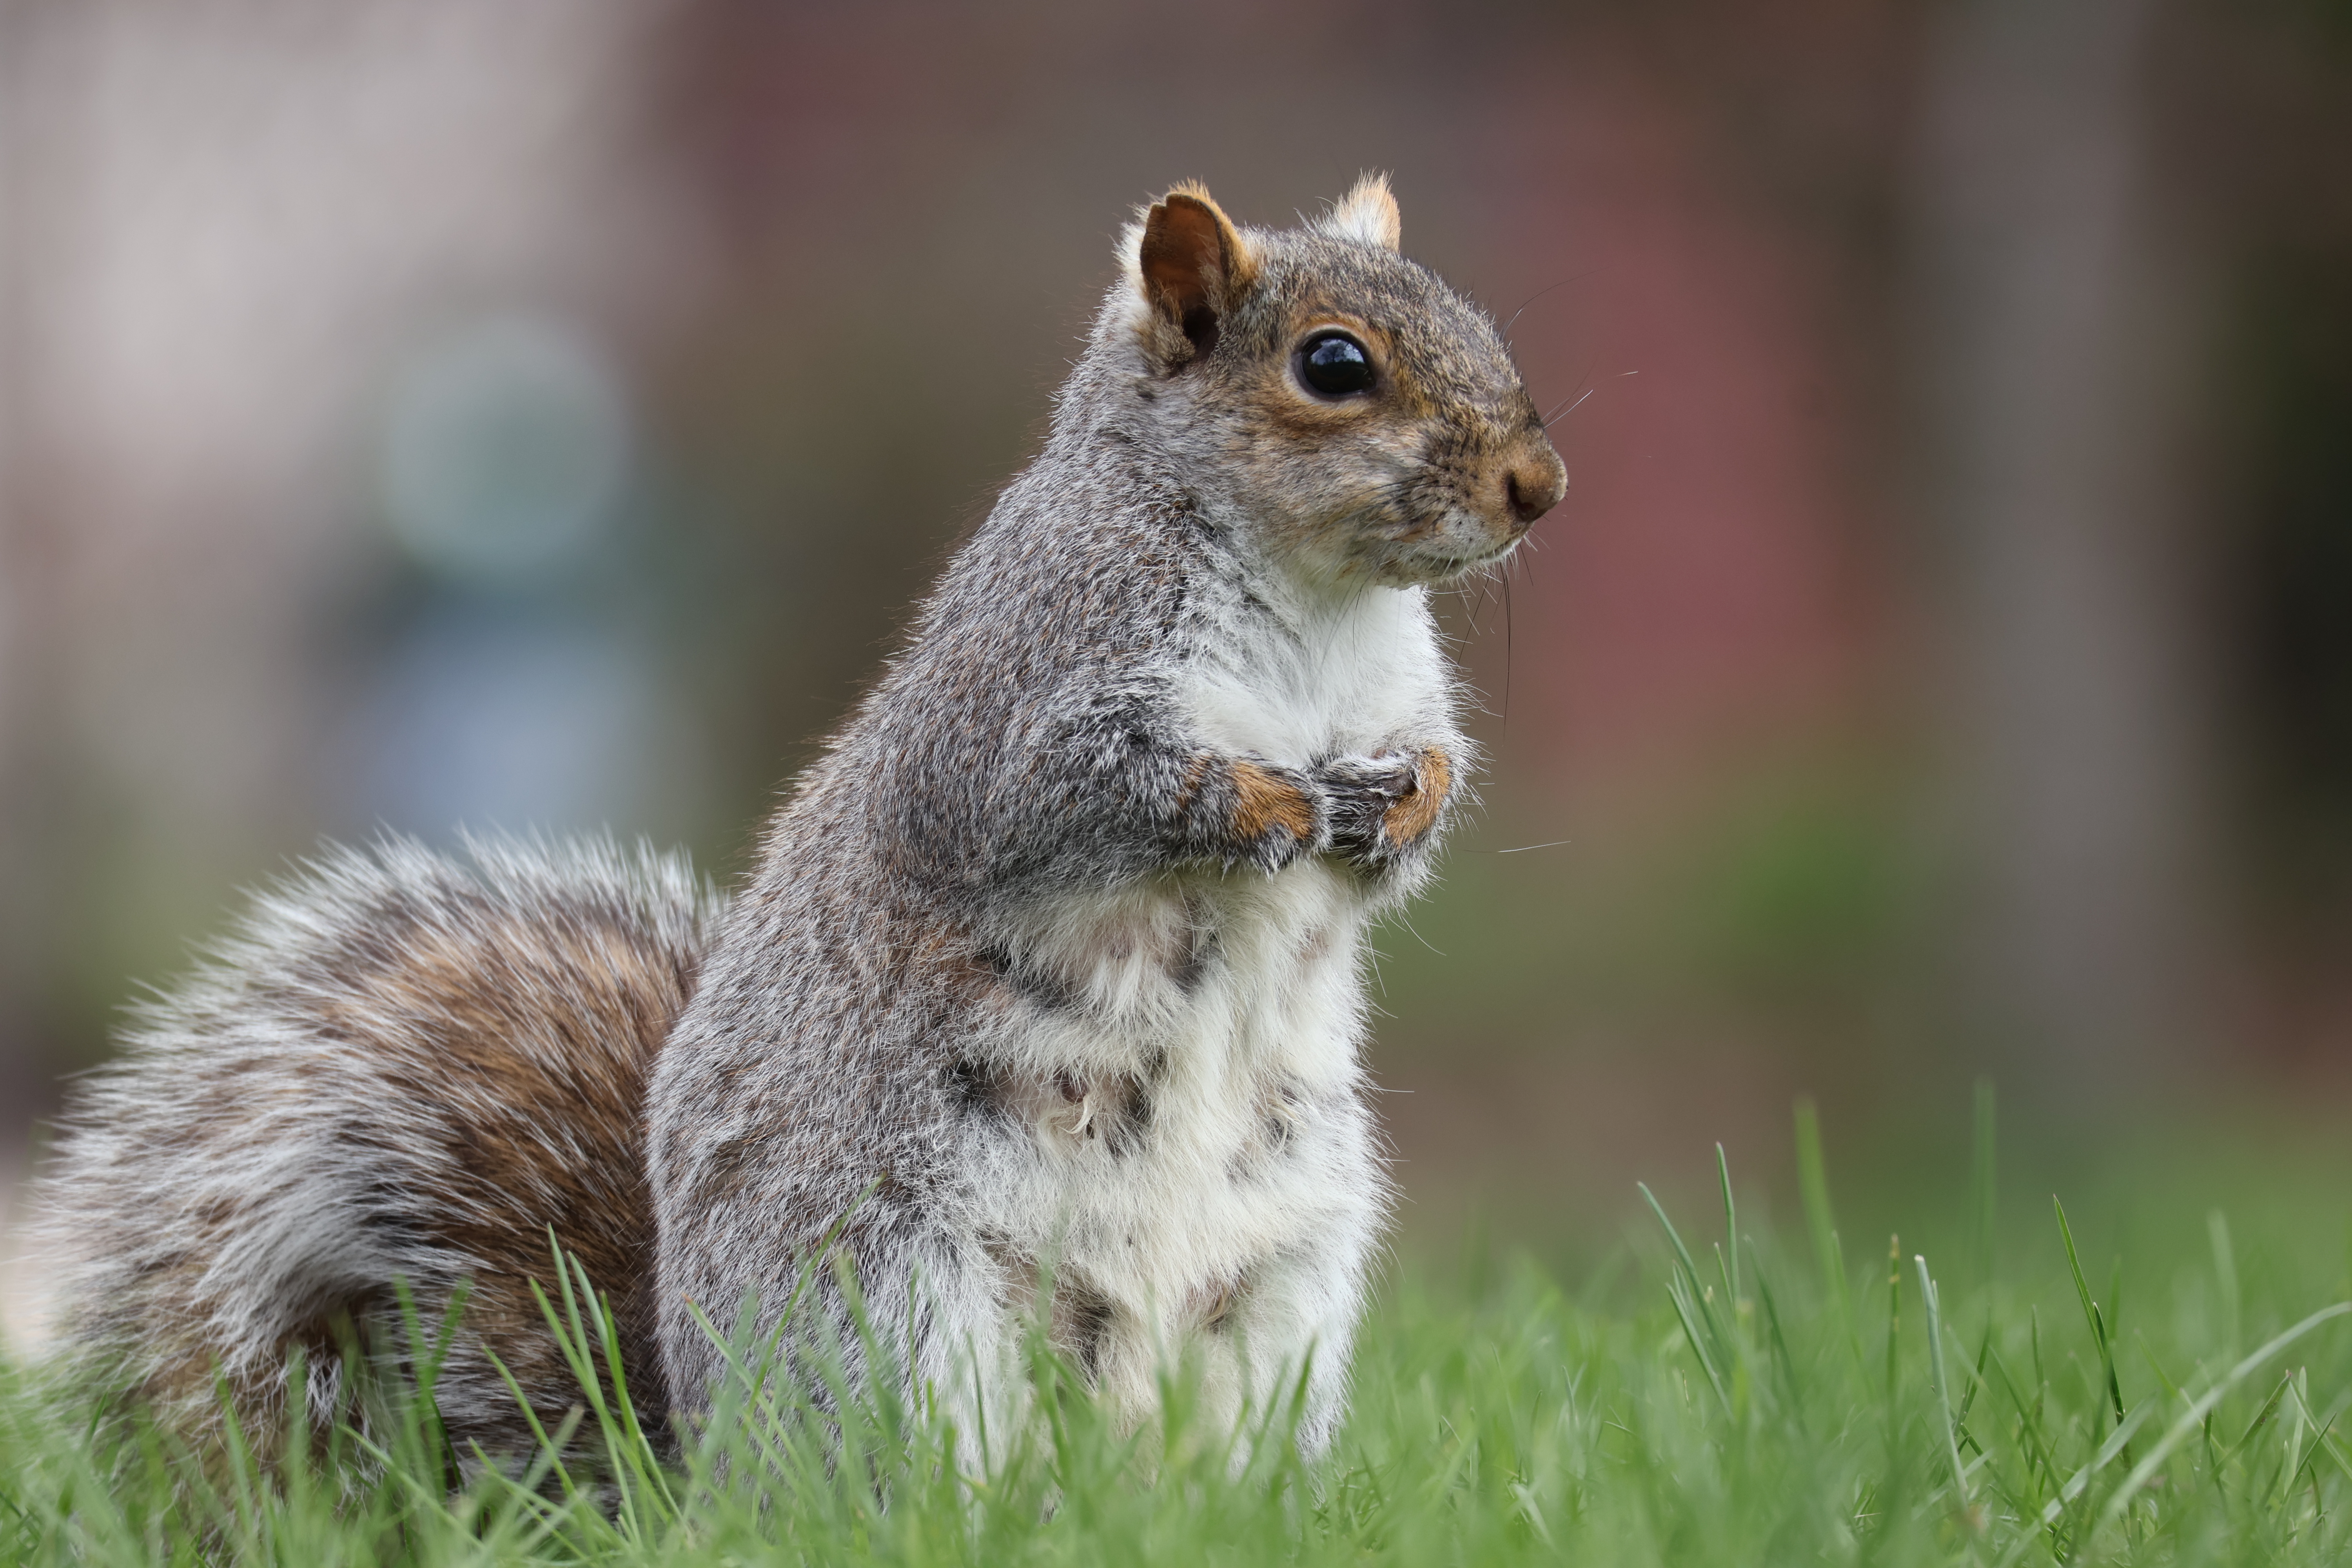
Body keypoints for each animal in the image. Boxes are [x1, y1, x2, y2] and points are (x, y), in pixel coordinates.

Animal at [35, 176, 1565, 1464]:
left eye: (1479, 321)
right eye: (1332, 366)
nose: (1537, 488)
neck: (1319, 605)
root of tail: (702, 1467)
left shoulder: (1398, 695)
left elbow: (1428, 780)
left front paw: (1397, 810)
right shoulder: (1020, 688)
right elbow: (1069, 796)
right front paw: (1267, 801)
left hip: (1280, 1302)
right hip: (892, 1310)